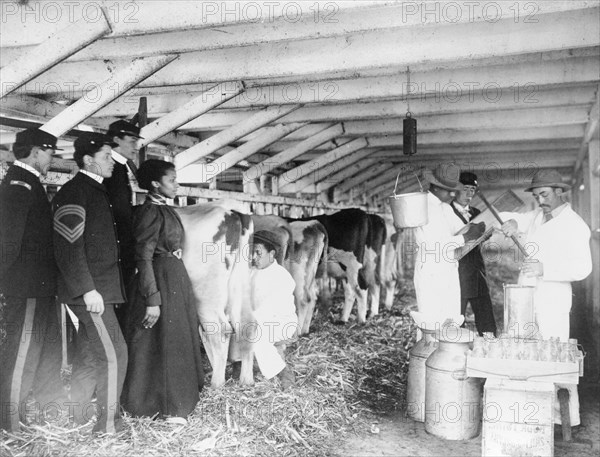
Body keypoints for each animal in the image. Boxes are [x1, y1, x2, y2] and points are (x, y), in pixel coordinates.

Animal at [176, 201, 255, 386]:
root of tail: (231, 209)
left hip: (205, 295)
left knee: (220, 330)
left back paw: (216, 383)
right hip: (240, 283)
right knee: (246, 324)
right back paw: (246, 380)